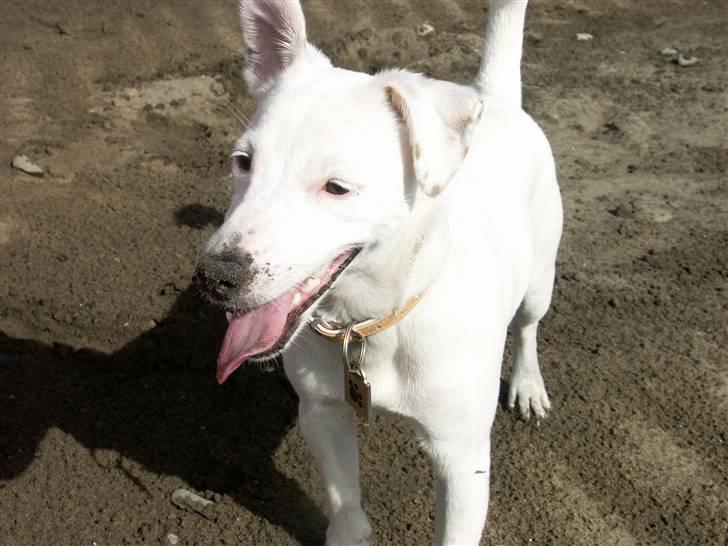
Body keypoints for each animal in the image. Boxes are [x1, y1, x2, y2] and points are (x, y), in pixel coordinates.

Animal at [196, 1, 560, 540]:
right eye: (243, 162)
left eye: (337, 188)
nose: (215, 276)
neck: (372, 321)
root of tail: (496, 99)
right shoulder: (323, 412)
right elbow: (346, 509)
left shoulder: (463, 461)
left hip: (540, 279)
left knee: (529, 326)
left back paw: (528, 384)